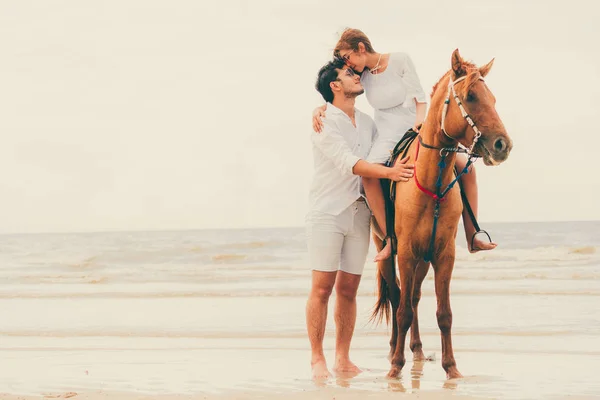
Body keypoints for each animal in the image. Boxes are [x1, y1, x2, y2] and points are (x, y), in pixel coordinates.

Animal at [372, 48, 512, 380]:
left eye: (493, 98)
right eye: (471, 96)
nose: (503, 145)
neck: (430, 182)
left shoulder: (443, 254)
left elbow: (443, 312)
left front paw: (452, 367)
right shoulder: (406, 253)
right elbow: (402, 309)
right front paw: (395, 367)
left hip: (424, 260)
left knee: (413, 297)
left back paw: (417, 350)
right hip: (387, 251)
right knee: (397, 295)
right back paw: (394, 351)